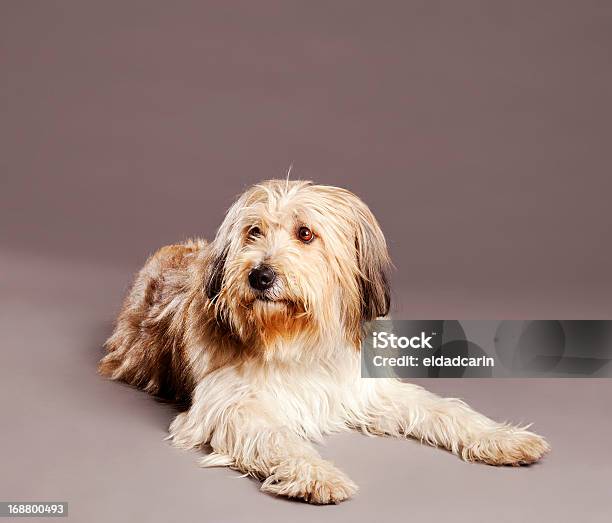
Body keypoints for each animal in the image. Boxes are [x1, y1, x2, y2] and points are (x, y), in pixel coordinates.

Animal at [99, 180, 548, 504]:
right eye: (253, 231)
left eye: (305, 234)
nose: (259, 275)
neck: (298, 340)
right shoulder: (228, 406)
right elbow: (278, 437)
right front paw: (316, 474)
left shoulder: (366, 390)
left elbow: (442, 408)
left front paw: (501, 438)